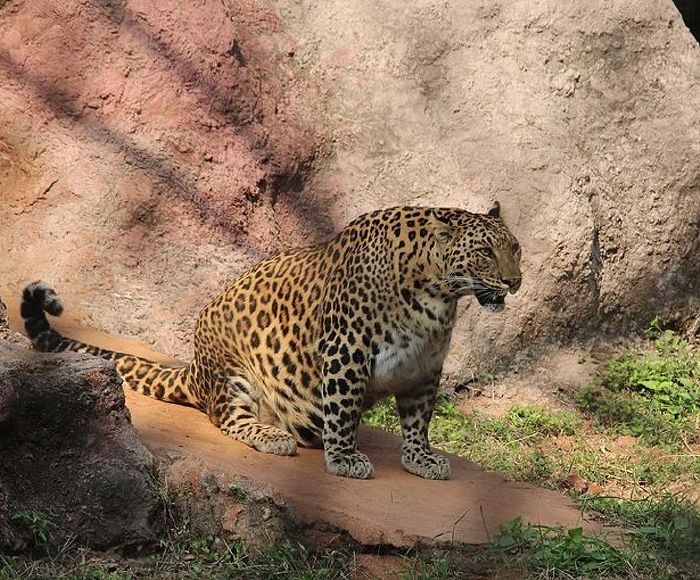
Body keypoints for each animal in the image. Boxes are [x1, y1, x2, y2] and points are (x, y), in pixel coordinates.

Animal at [21, 203, 522, 480]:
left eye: (515, 248)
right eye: (484, 252)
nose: (514, 281)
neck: (438, 296)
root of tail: (196, 366)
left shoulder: (424, 367)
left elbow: (419, 421)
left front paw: (421, 459)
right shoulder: (347, 351)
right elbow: (343, 409)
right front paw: (344, 460)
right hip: (234, 373)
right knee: (227, 419)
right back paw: (275, 436)